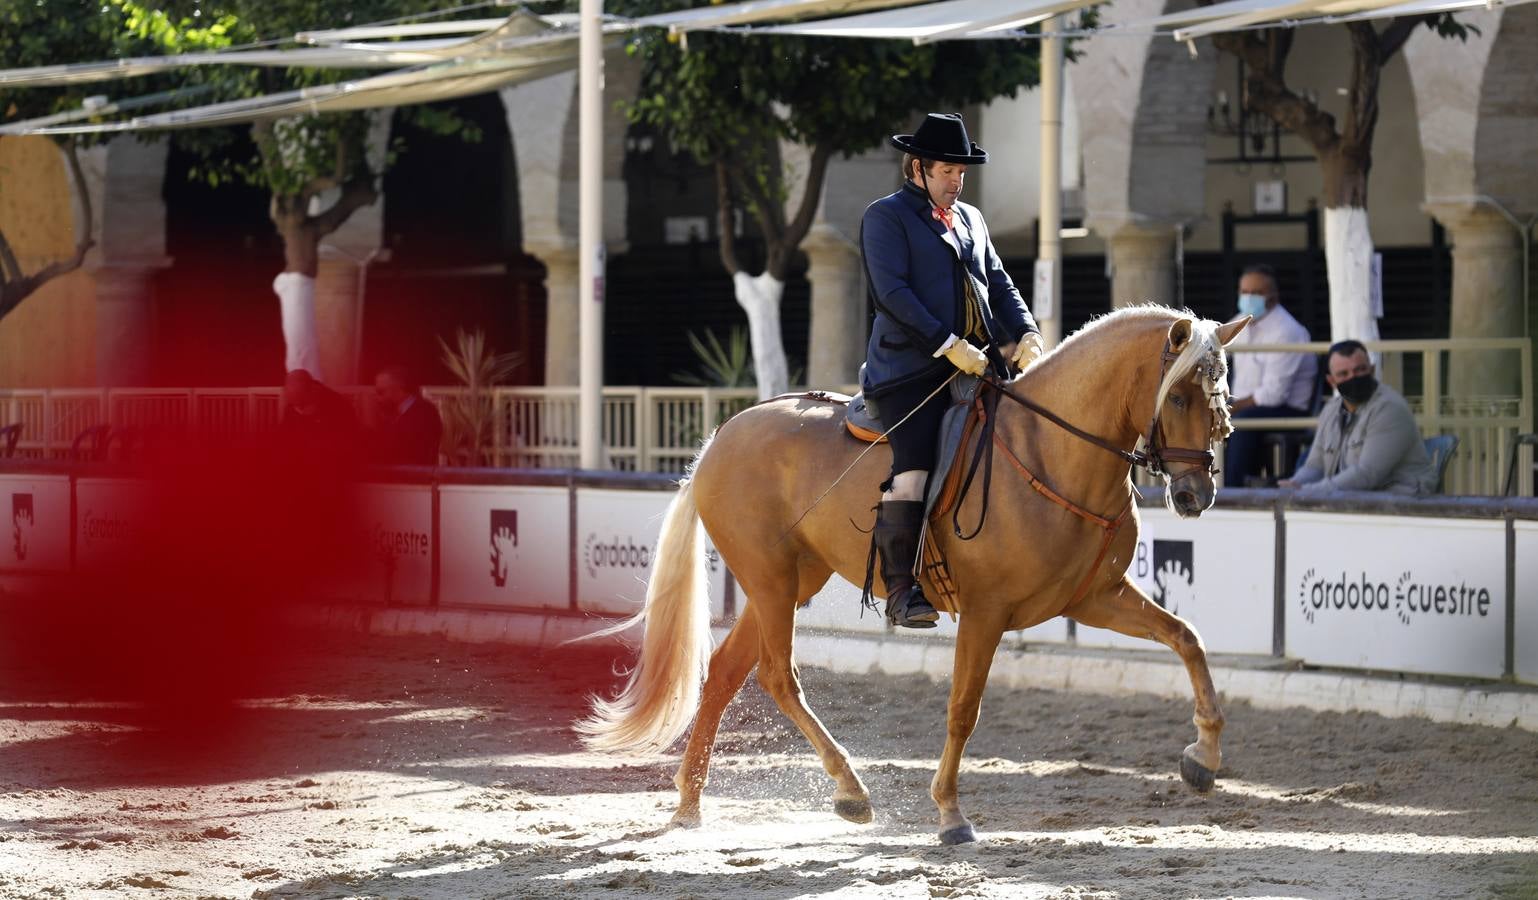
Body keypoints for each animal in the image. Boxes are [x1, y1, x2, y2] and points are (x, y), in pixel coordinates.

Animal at [578, 307, 1248, 843]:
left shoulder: (1094, 598)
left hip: (795, 580)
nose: (1195, 495)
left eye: (1222, 396)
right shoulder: (986, 612)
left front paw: (1204, 755)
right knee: (777, 675)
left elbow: (1187, 638)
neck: (1049, 452)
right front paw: (950, 814)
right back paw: (849, 789)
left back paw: (690, 804)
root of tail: (723, 434)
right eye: (1179, 397)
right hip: (769, 578)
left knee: (724, 673)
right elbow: (963, 708)